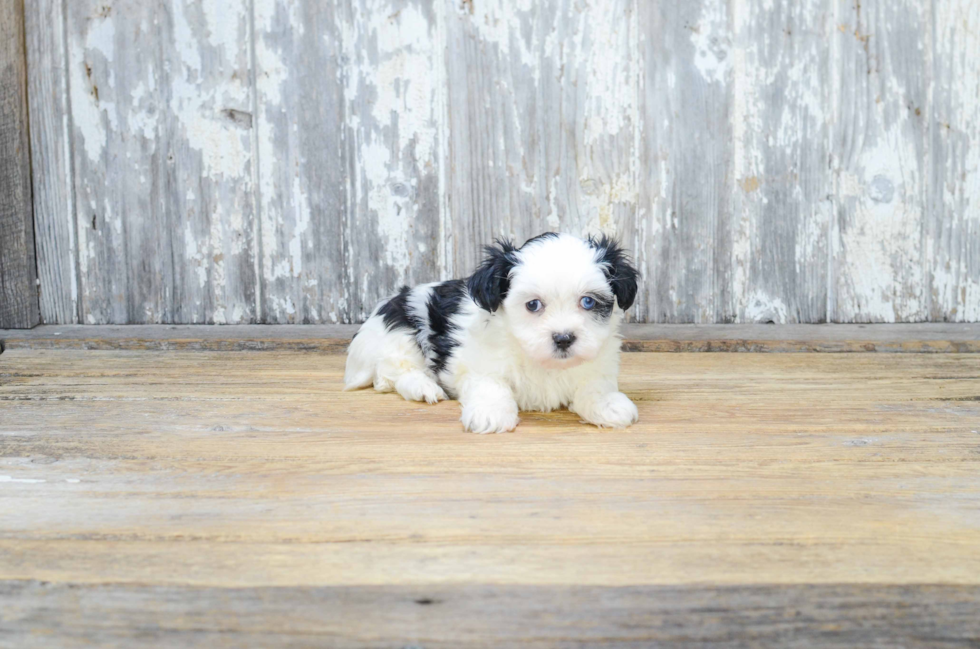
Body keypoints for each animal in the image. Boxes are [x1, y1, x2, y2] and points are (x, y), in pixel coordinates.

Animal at [346, 230, 644, 432]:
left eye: (588, 302)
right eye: (533, 305)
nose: (563, 338)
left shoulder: (598, 363)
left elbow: (595, 385)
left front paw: (608, 405)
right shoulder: (480, 361)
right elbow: (490, 384)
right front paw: (490, 413)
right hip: (400, 333)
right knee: (393, 372)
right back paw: (423, 387)